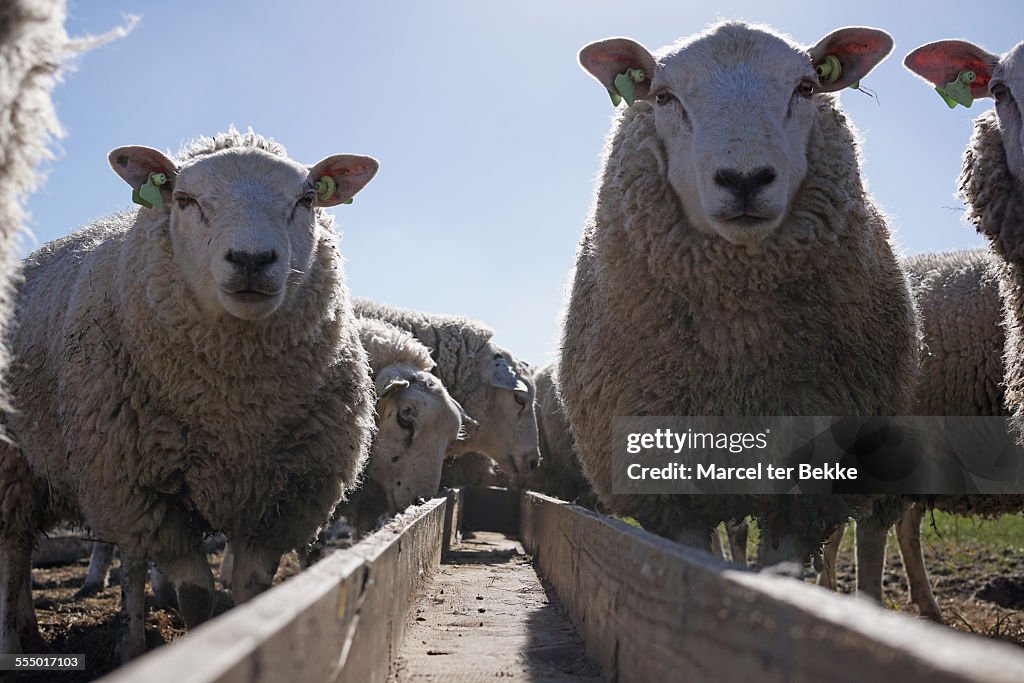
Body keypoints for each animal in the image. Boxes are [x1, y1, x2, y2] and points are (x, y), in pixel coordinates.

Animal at [0, 128, 379, 659]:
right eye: (184, 199)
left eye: (306, 200)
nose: (251, 260)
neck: (236, 410)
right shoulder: (146, 495)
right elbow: (197, 594)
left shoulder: (283, 497)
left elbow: (254, 591)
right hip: (12, 464)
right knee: (12, 552)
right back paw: (14, 642)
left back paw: (33, 631)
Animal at [558, 22, 918, 586]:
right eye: (664, 96)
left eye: (806, 87)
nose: (745, 178)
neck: (738, 346)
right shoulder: (670, 488)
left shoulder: (804, 488)